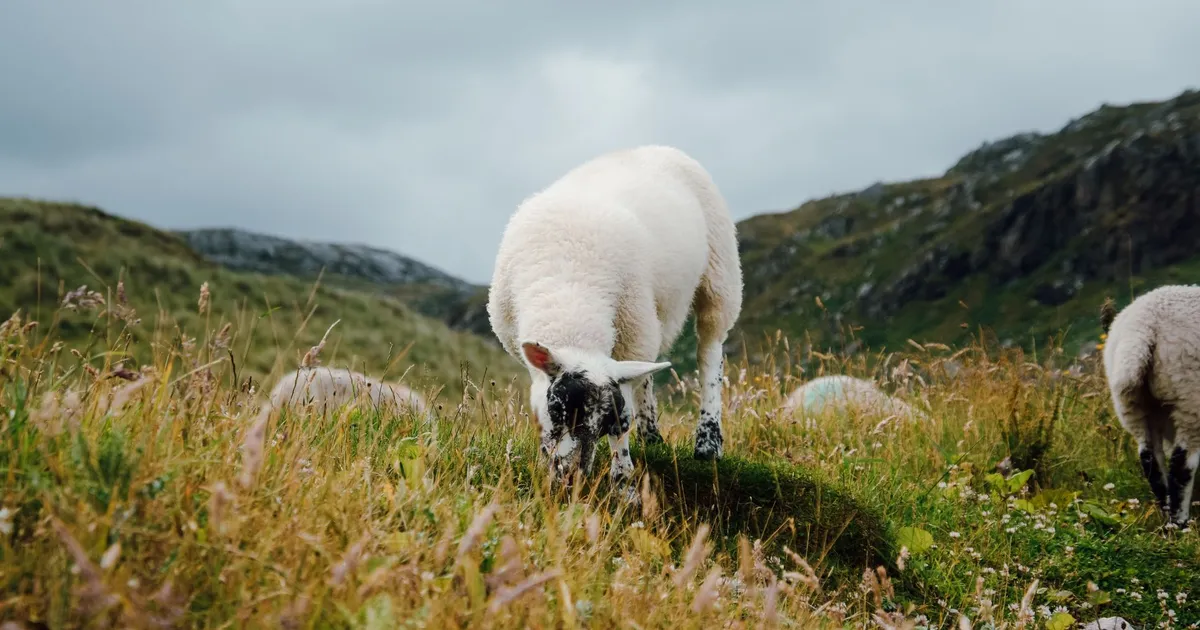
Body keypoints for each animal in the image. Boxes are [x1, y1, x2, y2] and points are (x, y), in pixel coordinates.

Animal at [486, 145, 743, 491]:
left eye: (605, 423)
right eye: (557, 408)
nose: (571, 478)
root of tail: (658, 147)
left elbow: (624, 418)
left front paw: (623, 479)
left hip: (720, 274)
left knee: (710, 351)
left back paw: (708, 441)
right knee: (647, 372)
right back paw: (652, 436)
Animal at [1100, 285, 1200, 527]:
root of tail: (1142, 326)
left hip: (1132, 403)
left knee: (1150, 459)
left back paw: (1166, 512)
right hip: (1190, 395)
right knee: (1181, 463)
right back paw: (1179, 521)